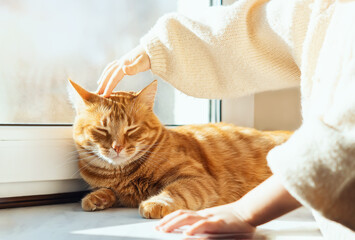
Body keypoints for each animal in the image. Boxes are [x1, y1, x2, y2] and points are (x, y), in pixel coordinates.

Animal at [69, 79, 292, 218]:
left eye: (132, 129)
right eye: (102, 129)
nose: (117, 147)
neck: (123, 175)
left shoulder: (196, 178)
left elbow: (175, 190)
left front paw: (156, 203)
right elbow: (108, 191)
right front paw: (97, 198)